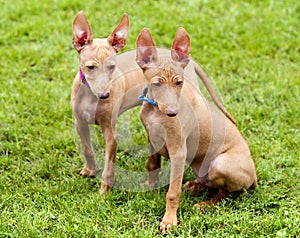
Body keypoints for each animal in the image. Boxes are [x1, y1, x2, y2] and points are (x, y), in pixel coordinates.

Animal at [137, 27, 256, 232]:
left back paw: (205, 204)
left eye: (179, 83)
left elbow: (172, 192)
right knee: (210, 184)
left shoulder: (178, 152)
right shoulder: (152, 139)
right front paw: (149, 185)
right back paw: (195, 185)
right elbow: (152, 164)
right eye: (157, 83)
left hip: (221, 164)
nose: (172, 113)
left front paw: (169, 220)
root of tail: (255, 175)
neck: (156, 111)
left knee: (225, 194)